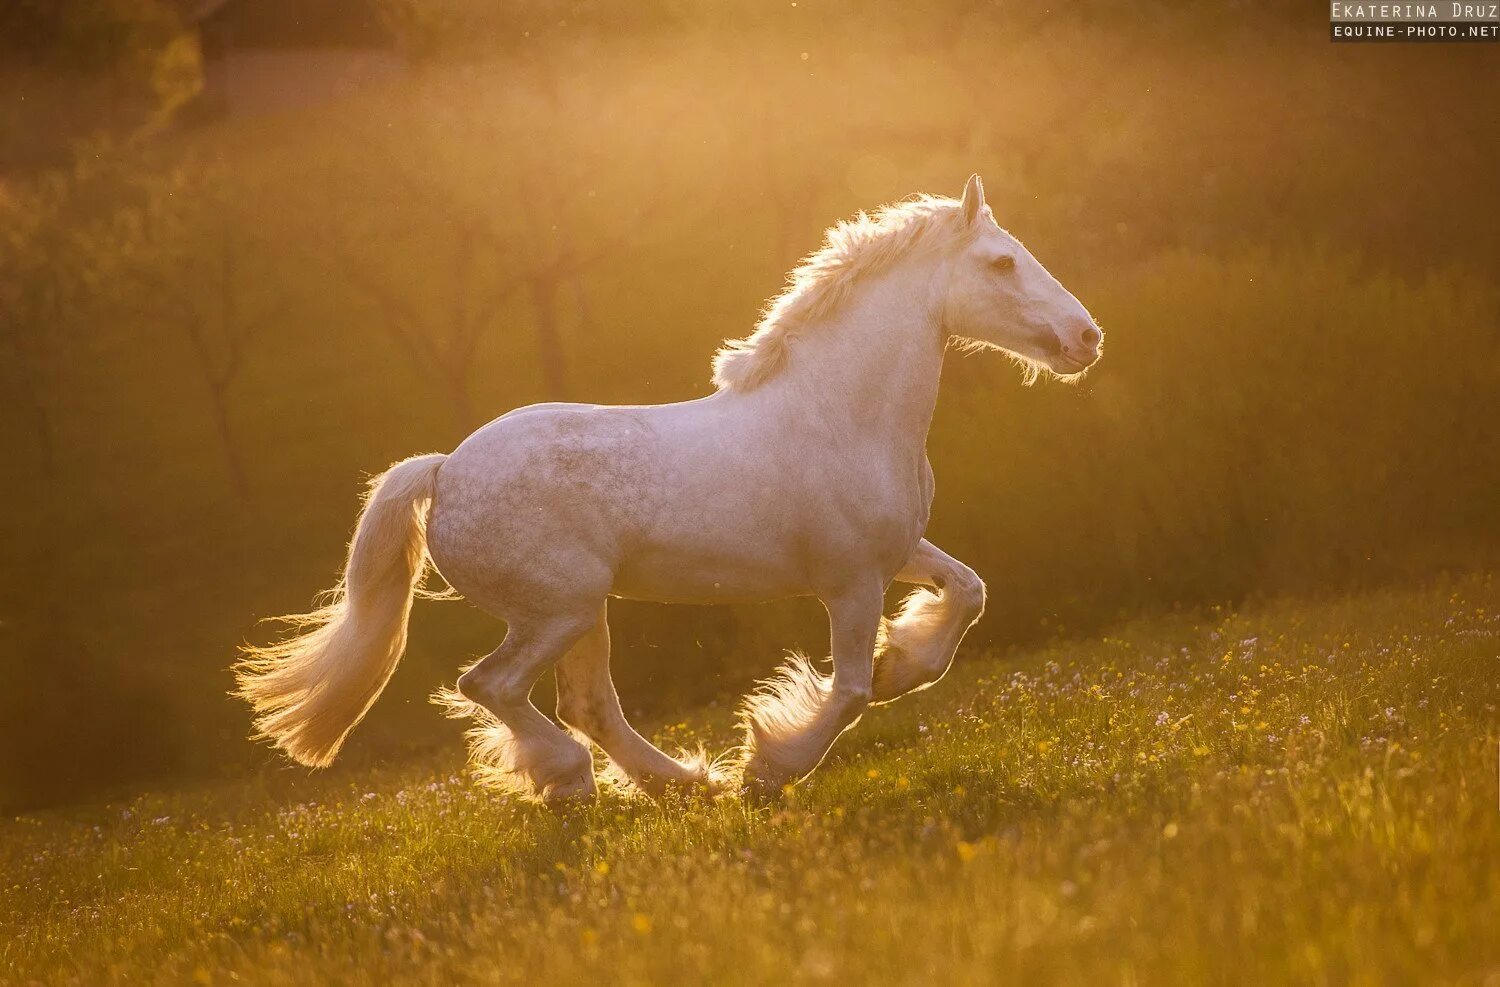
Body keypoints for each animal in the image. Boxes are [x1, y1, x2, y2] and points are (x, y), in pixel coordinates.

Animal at [237, 177, 1104, 804]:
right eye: (1001, 262)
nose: (1087, 337)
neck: (839, 411)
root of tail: (444, 469)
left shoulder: (899, 551)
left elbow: (968, 593)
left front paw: (902, 662)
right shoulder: (850, 580)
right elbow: (851, 690)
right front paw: (771, 766)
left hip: (582, 611)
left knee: (584, 704)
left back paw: (681, 782)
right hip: (558, 609)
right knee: (493, 685)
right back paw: (577, 782)